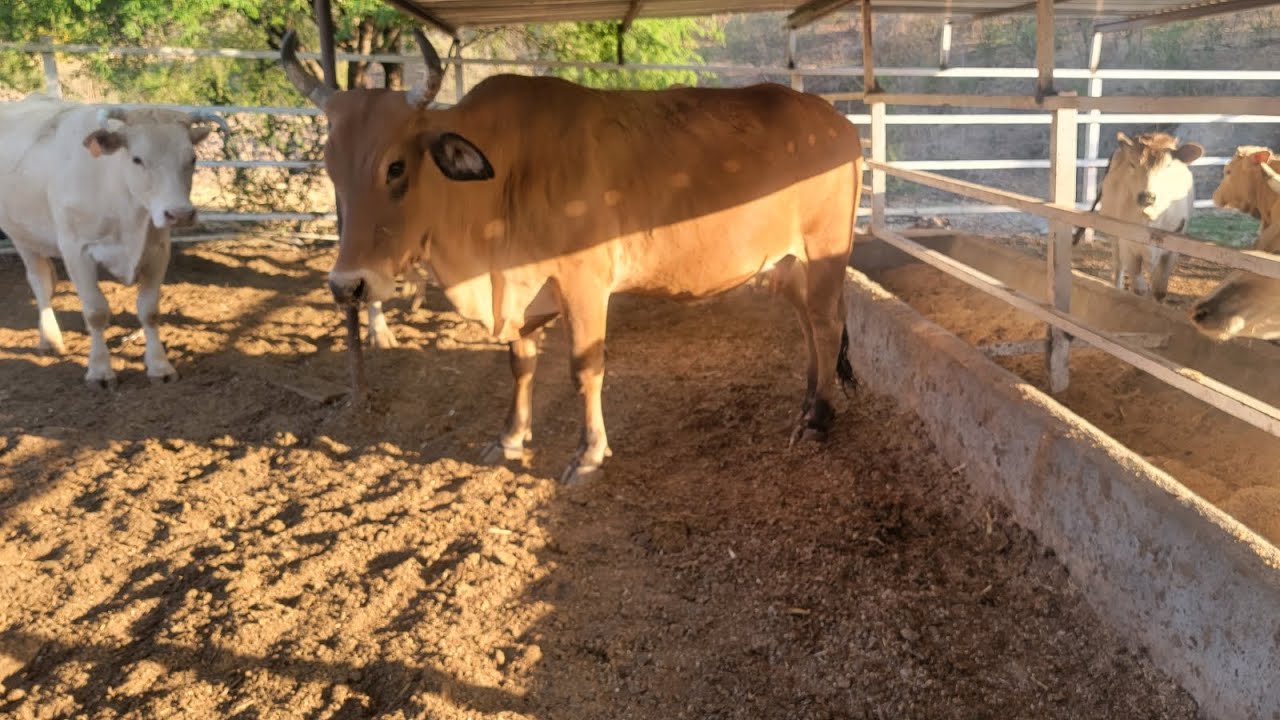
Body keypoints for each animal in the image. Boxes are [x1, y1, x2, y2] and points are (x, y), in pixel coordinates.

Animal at [0, 94, 229, 387]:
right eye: (137, 159)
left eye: (192, 158)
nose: (180, 214)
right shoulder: (76, 250)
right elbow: (96, 312)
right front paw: (100, 370)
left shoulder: (158, 250)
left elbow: (149, 310)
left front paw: (160, 366)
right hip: (21, 236)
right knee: (40, 283)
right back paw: (50, 339)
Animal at [278, 30, 862, 483]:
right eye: (329, 165)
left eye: (396, 166)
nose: (348, 286)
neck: (504, 177)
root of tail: (838, 122)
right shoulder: (521, 290)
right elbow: (520, 363)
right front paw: (510, 438)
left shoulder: (585, 283)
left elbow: (585, 368)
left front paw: (589, 454)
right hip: (787, 265)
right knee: (810, 327)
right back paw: (809, 401)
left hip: (824, 252)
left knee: (827, 325)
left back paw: (818, 418)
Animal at [1093, 131, 1203, 302]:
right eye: (1132, 164)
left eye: (1168, 166)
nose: (1147, 197)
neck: (1151, 218)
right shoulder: (1128, 246)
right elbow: (1138, 288)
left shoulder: (1171, 251)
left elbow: (1159, 290)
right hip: (1114, 237)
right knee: (1118, 267)